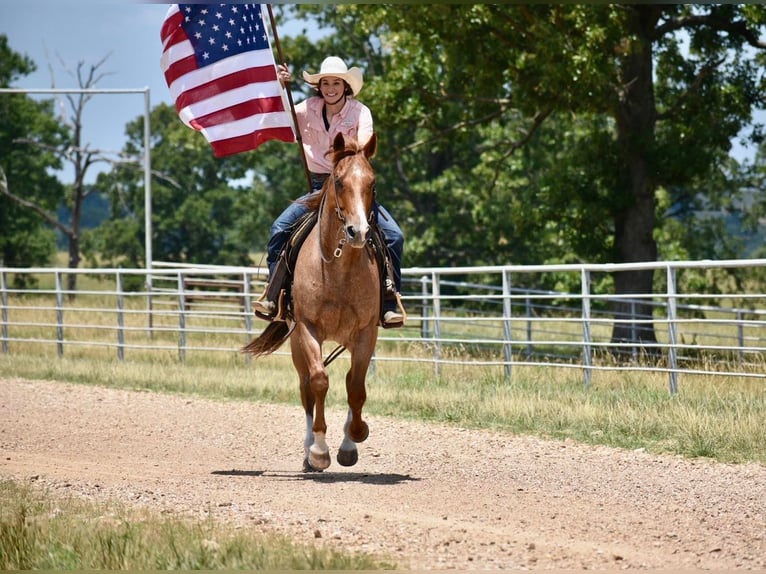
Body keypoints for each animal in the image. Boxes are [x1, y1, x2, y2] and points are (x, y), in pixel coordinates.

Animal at [243, 134, 380, 472]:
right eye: (339, 181)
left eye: (372, 183)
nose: (358, 232)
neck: (338, 272)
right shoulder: (307, 328)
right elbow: (319, 382)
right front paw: (319, 450)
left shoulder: (366, 332)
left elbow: (356, 386)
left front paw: (354, 437)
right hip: (296, 343)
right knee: (306, 386)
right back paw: (308, 453)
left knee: (347, 381)